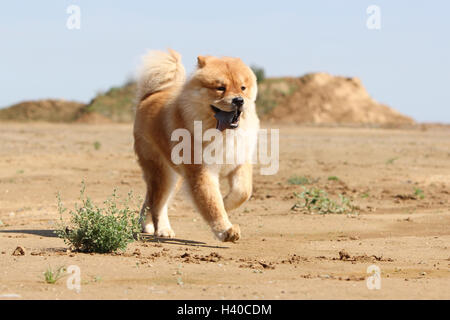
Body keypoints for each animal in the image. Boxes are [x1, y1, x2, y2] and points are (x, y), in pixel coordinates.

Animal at [134, 48, 258, 241]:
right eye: (220, 88)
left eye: (243, 88)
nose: (239, 100)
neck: (221, 132)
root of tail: (148, 97)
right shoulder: (202, 172)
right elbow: (212, 204)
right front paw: (225, 230)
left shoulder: (239, 163)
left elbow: (243, 192)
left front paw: (226, 203)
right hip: (164, 172)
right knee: (158, 204)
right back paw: (163, 230)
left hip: (175, 176)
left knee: (152, 199)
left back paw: (146, 225)